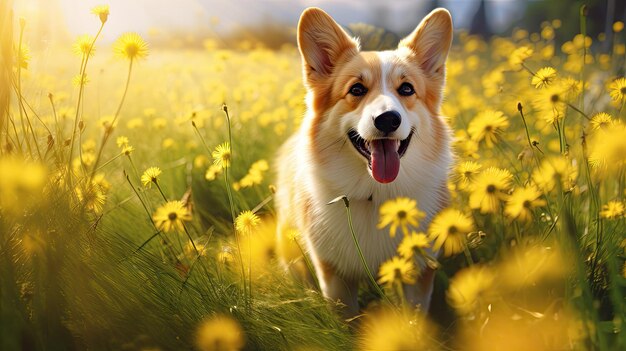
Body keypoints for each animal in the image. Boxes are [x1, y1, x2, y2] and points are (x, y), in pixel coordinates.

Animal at [276, 8, 450, 318]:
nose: (388, 120)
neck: (375, 193)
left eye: (407, 89)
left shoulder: (418, 271)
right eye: (356, 89)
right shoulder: (335, 276)